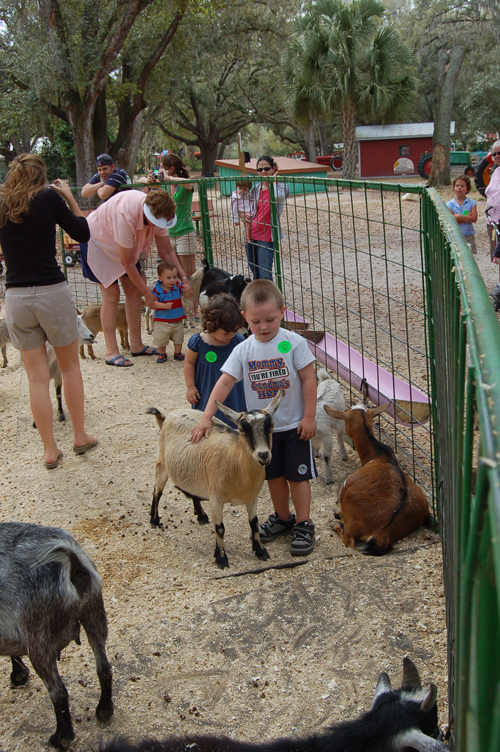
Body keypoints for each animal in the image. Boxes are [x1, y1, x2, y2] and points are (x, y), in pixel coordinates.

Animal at [0, 524, 113, 748]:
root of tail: (73, 563)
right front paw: (19, 674)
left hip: (38, 640)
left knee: (58, 693)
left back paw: (61, 738)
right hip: (94, 615)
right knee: (103, 667)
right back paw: (104, 709)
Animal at [146, 390, 284, 568]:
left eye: (271, 425)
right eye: (242, 429)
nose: (263, 455)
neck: (236, 461)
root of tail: (167, 416)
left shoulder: (252, 497)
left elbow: (254, 523)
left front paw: (260, 550)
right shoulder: (216, 498)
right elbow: (220, 528)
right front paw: (221, 558)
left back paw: (200, 515)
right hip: (162, 463)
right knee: (157, 492)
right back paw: (154, 519)